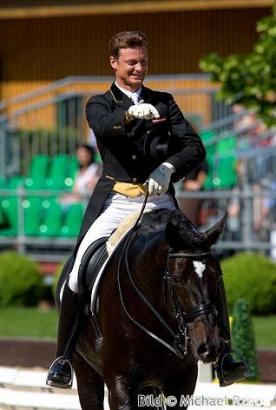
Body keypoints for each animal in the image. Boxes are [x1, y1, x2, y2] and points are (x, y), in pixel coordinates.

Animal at [63, 210, 227, 408]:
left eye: (218, 276)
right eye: (177, 279)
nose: (210, 346)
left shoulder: (183, 380)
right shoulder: (120, 381)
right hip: (84, 368)